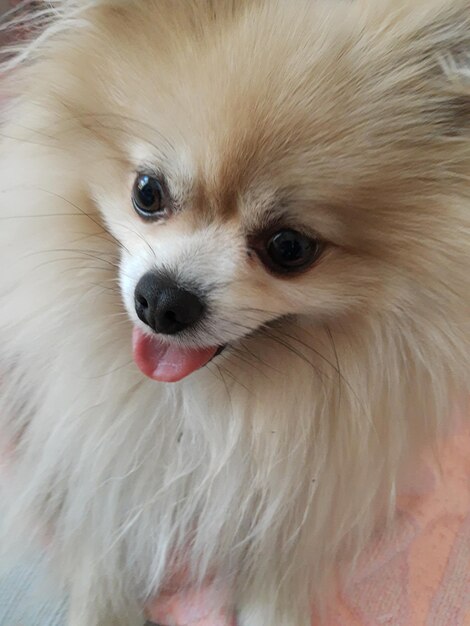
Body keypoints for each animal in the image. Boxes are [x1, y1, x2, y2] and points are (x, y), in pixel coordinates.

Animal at [0, 0, 468, 620]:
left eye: (289, 248)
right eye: (147, 192)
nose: (163, 299)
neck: (203, 413)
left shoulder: (300, 505)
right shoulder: (88, 462)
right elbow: (98, 545)